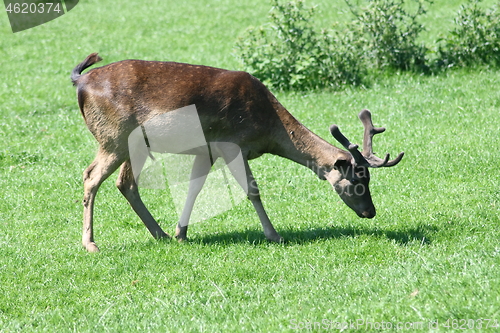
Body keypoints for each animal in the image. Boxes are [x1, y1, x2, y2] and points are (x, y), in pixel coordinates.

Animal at [72, 52, 404, 250]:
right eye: (358, 181)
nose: (371, 212)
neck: (267, 128)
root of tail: (80, 80)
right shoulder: (232, 144)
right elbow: (252, 190)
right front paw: (274, 235)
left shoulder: (206, 150)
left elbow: (193, 189)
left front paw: (181, 233)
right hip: (114, 137)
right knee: (91, 176)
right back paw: (90, 244)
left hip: (133, 145)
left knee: (125, 183)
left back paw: (160, 234)